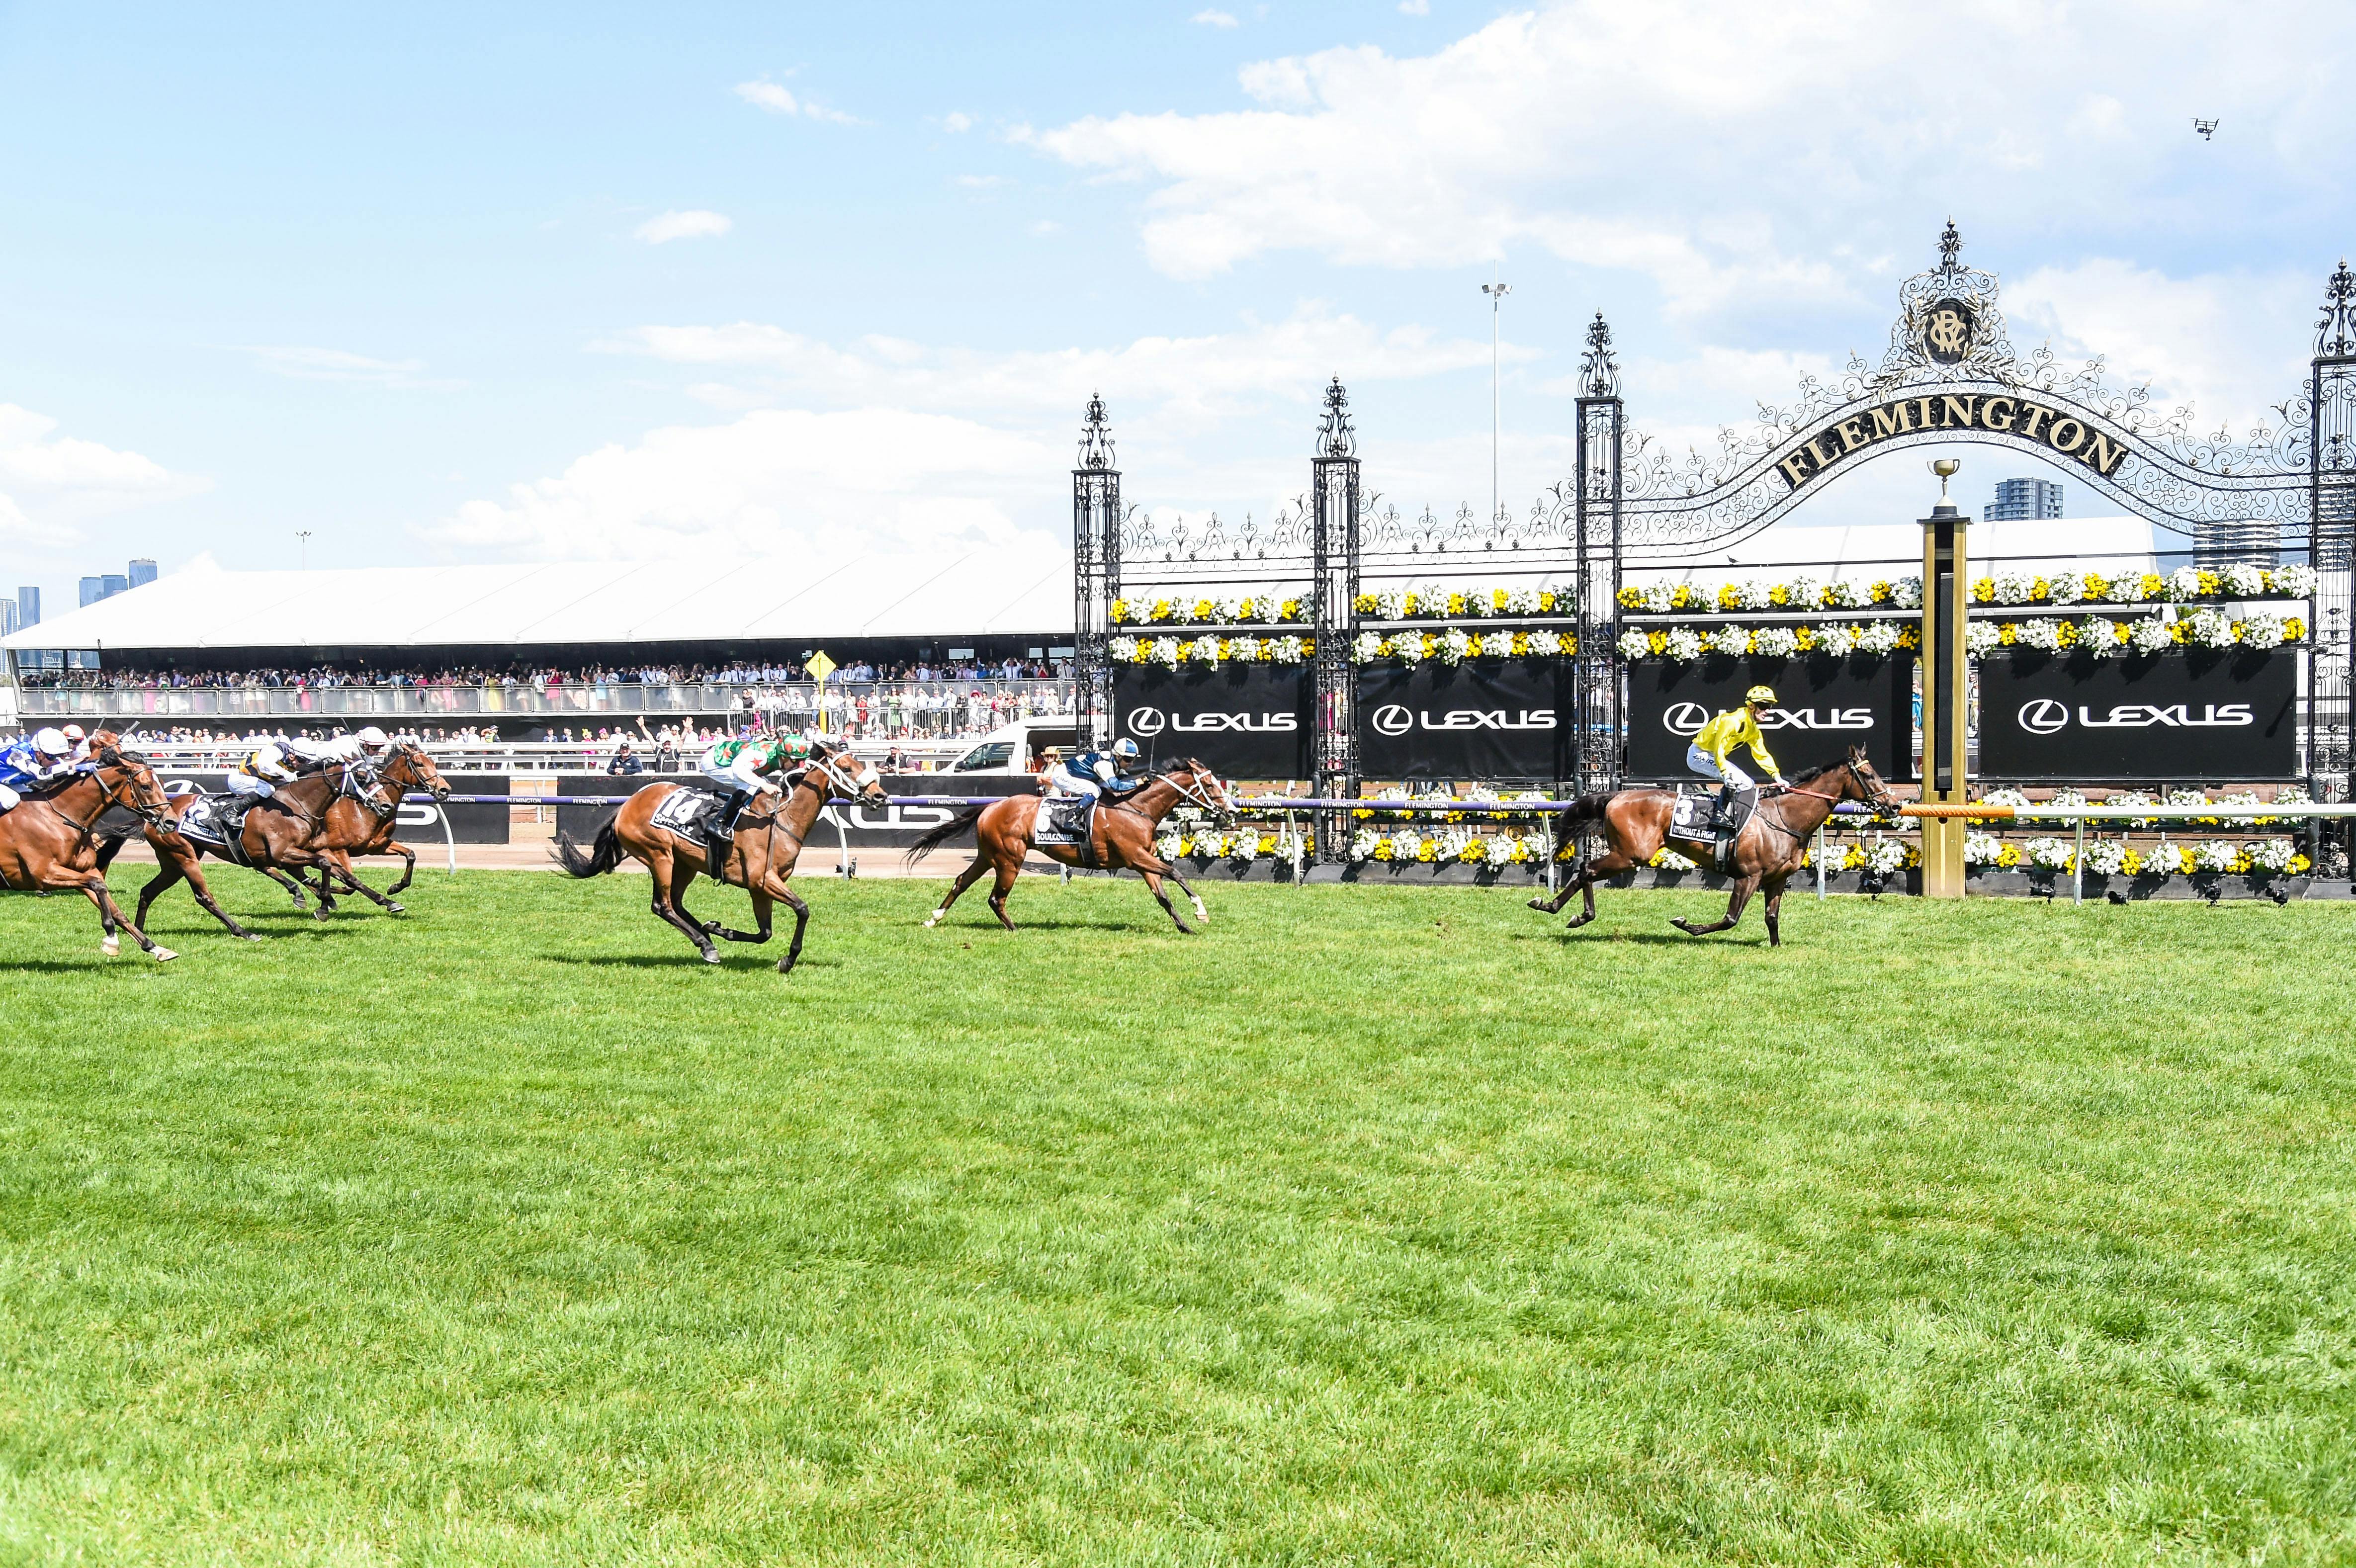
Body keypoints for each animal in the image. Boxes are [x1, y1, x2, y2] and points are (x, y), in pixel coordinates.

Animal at [0, 744, 181, 951]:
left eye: (161, 782)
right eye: (146, 786)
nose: (171, 822)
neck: (59, 817)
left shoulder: (83, 870)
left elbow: (112, 905)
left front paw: (154, 947)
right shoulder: (44, 874)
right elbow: (99, 886)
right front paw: (111, 935)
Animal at [549, 734, 885, 965]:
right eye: (846, 767)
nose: (880, 796)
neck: (781, 819)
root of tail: (626, 806)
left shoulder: (761, 887)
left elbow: (765, 933)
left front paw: (722, 929)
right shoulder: (763, 880)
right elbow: (802, 909)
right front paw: (788, 960)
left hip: (685, 863)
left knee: (676, 903)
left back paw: (707, 935)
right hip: (659, 855)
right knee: (664, 906)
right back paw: (706, 944)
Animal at [895, 758, 1234, 927]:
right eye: (1209, 784)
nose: (1231, 809)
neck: (1136, 809)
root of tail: (990, 807)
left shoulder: (1142, 862)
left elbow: (1163, 896)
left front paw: (1184, 926)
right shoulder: (1135, 857)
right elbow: (1176, 873)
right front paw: (1200, 910)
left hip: (987, 856)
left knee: (961, 882)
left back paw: (934, 919)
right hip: (1009, 860)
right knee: (996, 898)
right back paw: (1015, 929)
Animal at [1526, 744, 1894, 946]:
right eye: (1869, 775)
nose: (1893, 806)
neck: (1785, 817)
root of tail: (1615, 796)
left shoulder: (1777, 880)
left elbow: (1772, 919)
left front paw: (1776, 949)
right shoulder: (1748, 877)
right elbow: (1730, 918)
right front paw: (1686, 924)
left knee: (1585, 870)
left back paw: (1564, 910)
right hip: (1632, 855)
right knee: (1587, 869)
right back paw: (1561, 909)